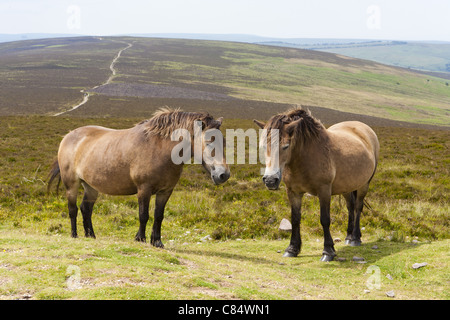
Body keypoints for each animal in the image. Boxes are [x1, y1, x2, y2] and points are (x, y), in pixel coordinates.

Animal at [49, 108, 230, 248]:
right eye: (209, 140)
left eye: (224, 142)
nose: (224, 174)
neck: (160, 148)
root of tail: (68, 136)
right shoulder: (144, 189)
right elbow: (144, 215)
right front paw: (140, 238)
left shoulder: (165, 192)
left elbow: (158, 216)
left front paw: (157, 241)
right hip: (72, 185)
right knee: (72, 209)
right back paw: (74, 234)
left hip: (91, 187)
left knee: (86, 209)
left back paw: (90, 235)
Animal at [255, 106, 378, 262]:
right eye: (263, 146)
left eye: (286, 146)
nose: (270, 180)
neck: (305, 158)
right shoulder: (293, 192)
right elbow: (295, 219)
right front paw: (292, 249)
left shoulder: (324, 191)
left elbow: (324, 219)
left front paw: (328, 251)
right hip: (347, 186)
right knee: (350, 207)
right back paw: (349, 237)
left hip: (364, 185)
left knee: (358, 207)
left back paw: (355, 238)